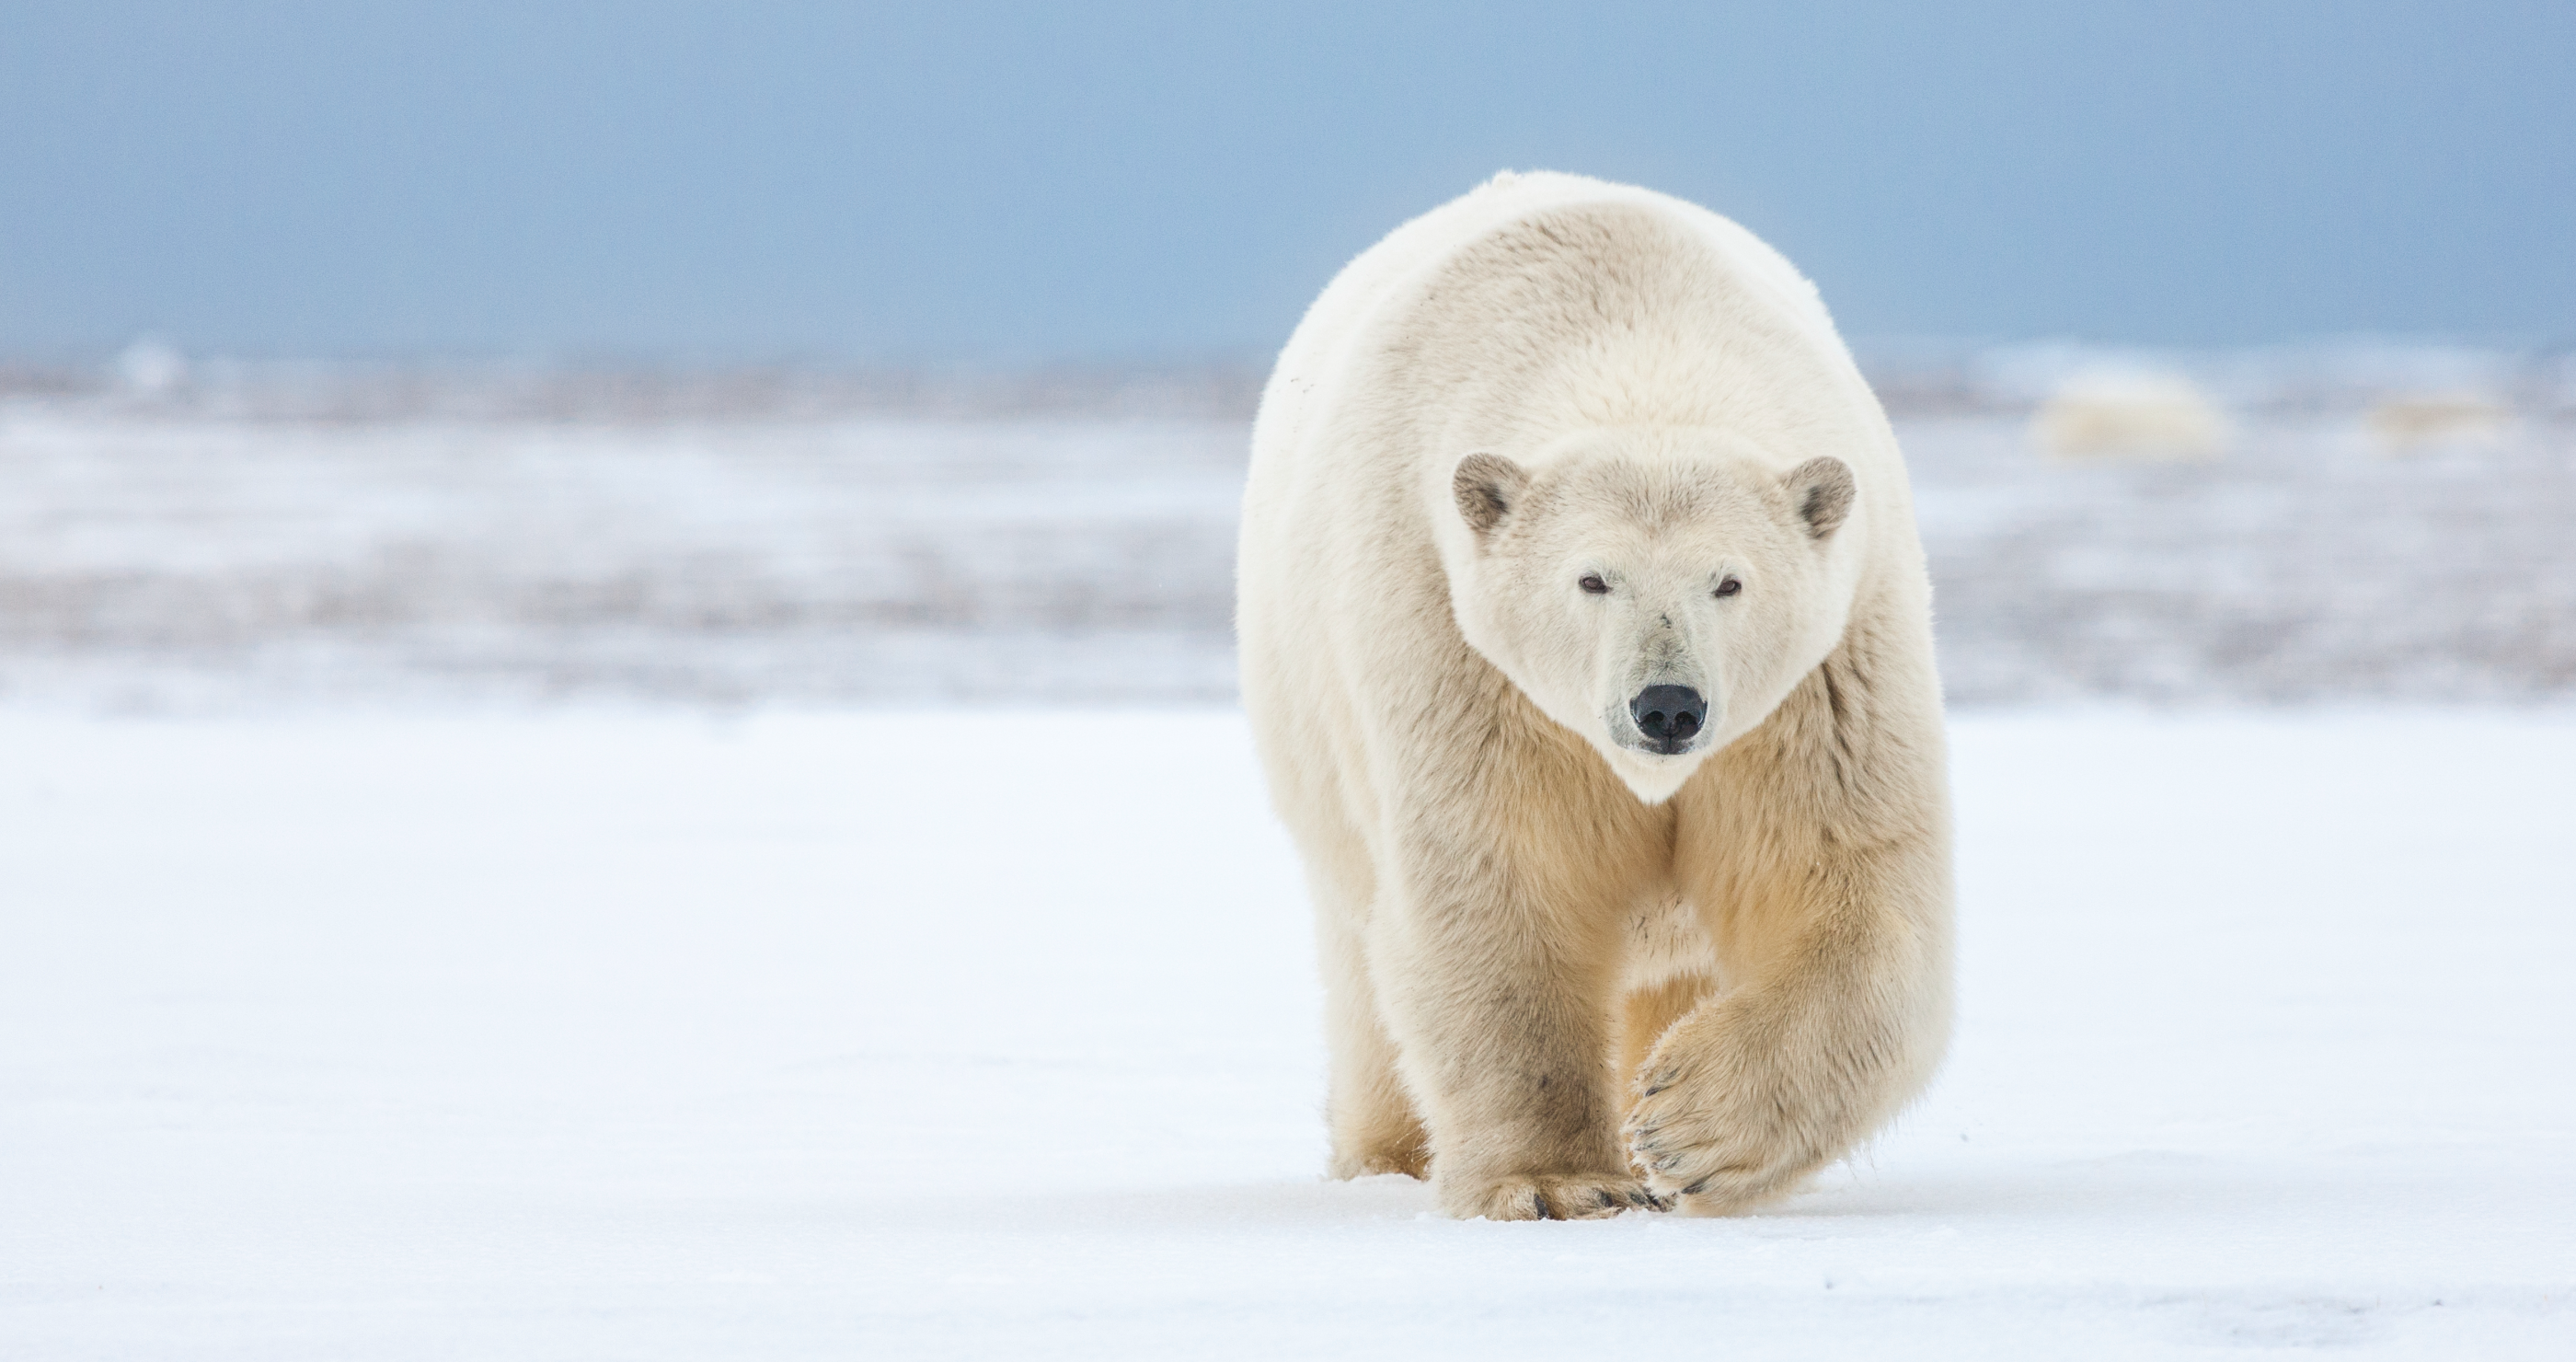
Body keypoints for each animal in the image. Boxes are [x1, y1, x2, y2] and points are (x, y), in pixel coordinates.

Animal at [1236, 172, 1937, 1220]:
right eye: (1592, 579)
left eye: (1729, 581)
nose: (1667, 706)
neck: (1635, 330)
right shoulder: (1458, 649)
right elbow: (1502, 883)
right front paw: (1558, 1180)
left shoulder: (1825, 680)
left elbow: (1843, 882)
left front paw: (1684, 1124)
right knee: (1363, 973)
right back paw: (1387, 1154)